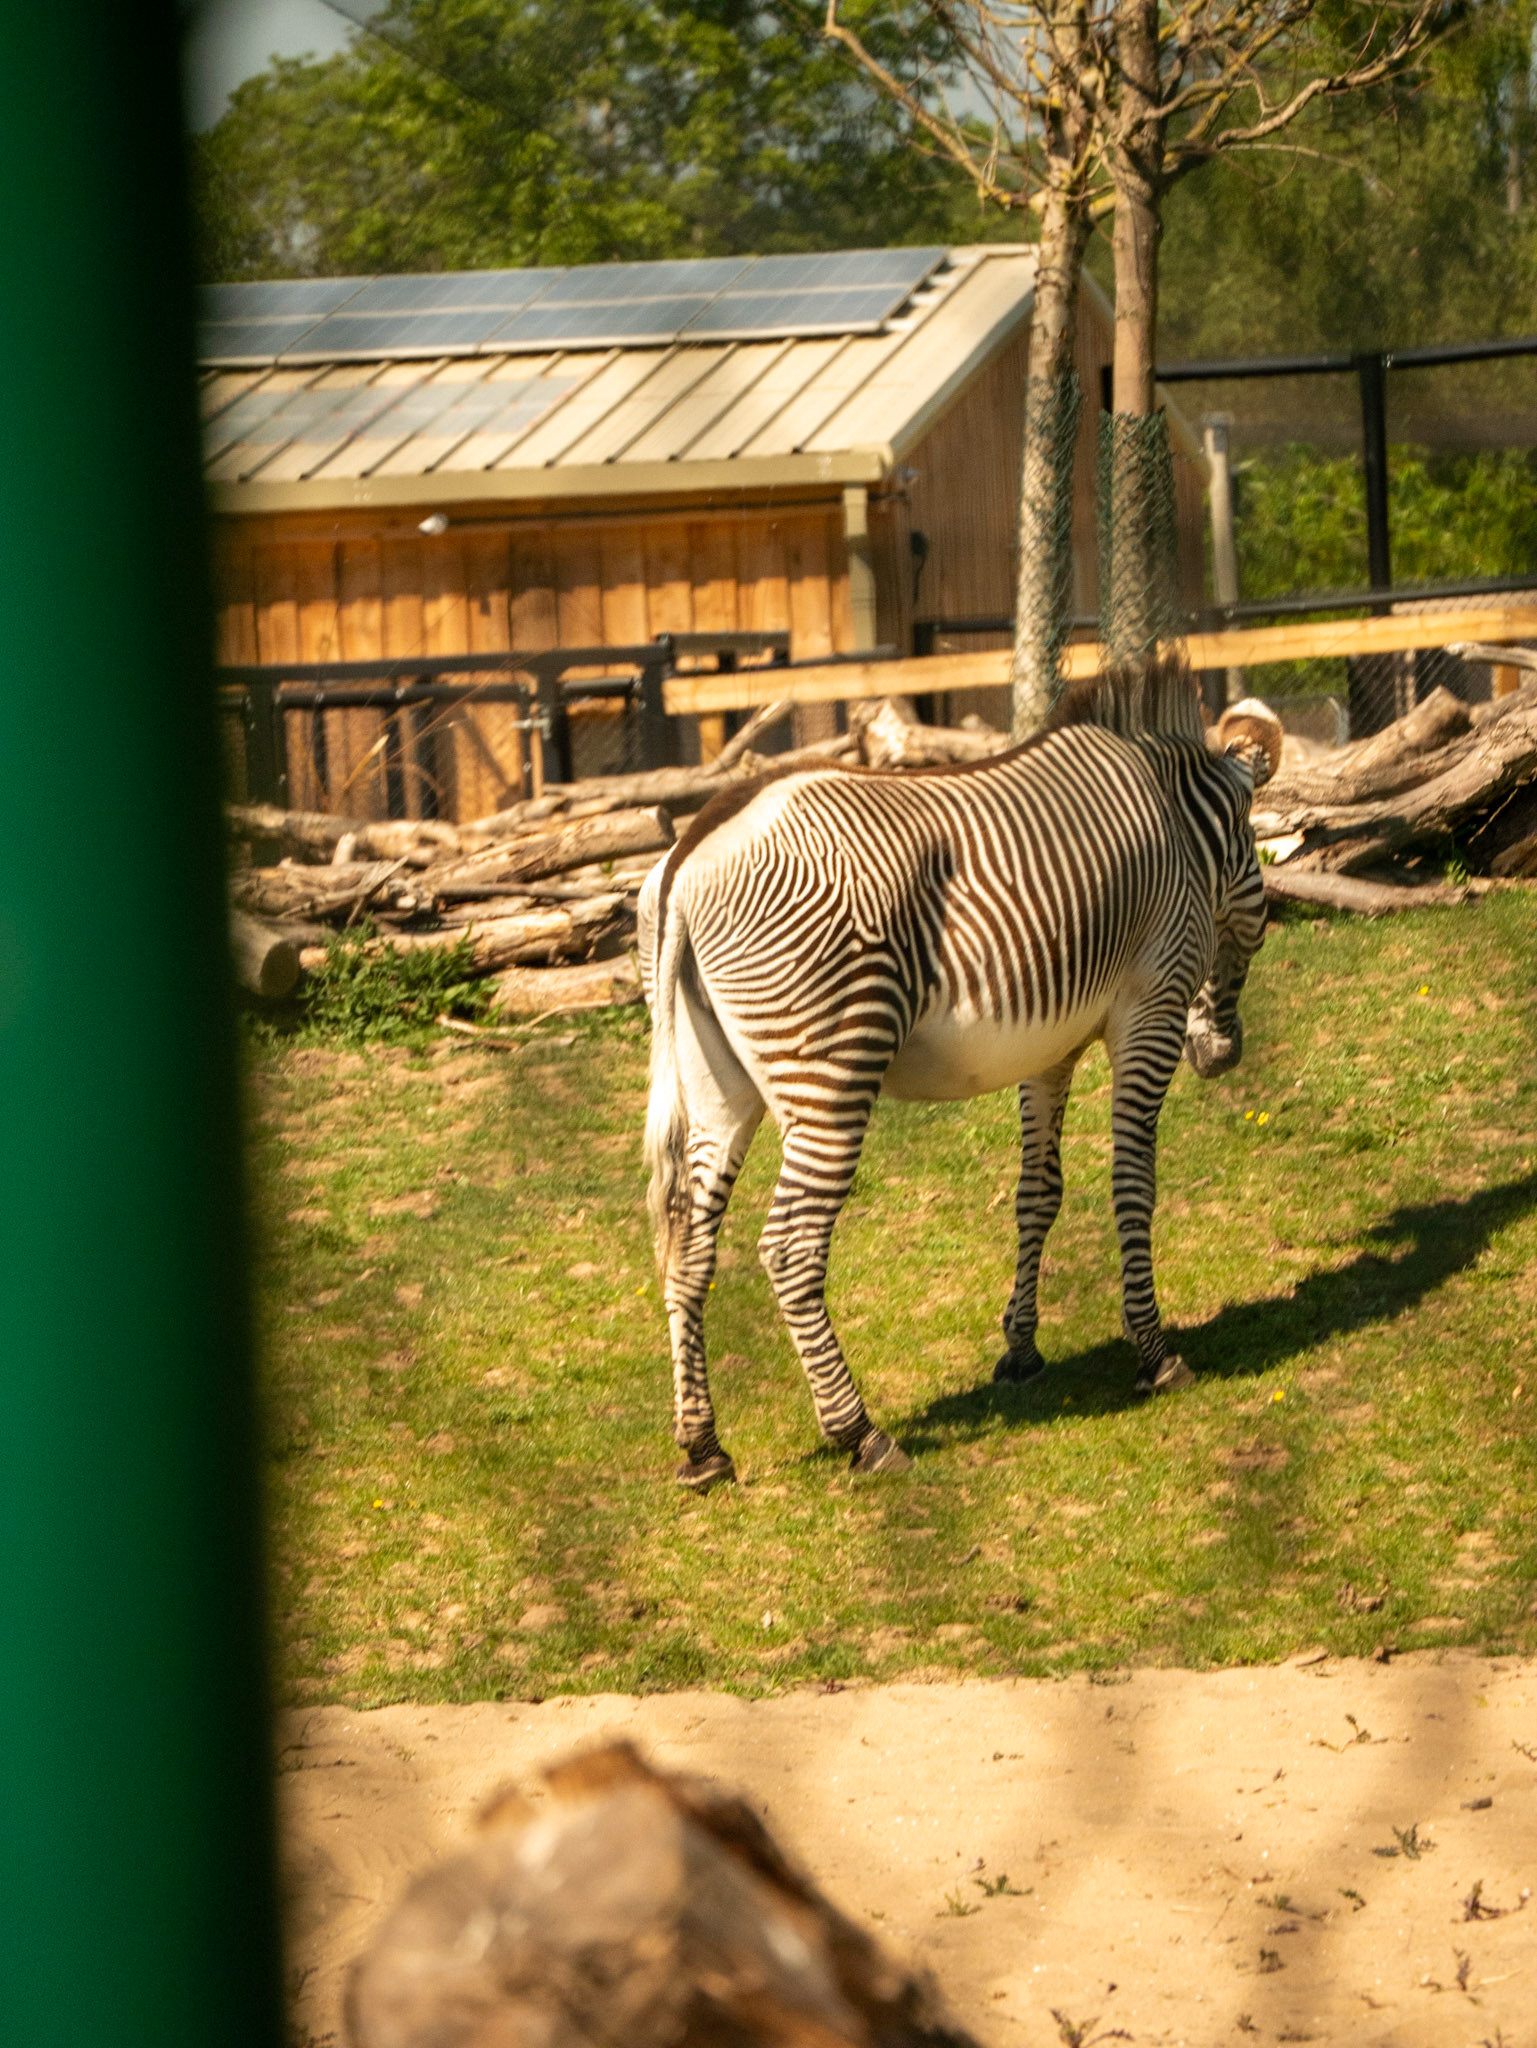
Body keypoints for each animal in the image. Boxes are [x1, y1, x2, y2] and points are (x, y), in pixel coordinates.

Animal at [638, 660, 1281, 1490]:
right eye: (1259, 870)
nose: (1221, 1056)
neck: (1183, 824)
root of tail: (689, 855)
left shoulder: (1050, 1047)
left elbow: (1038, 1192)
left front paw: (1021, 1349)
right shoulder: (1155, 1003)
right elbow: (1132, 1182)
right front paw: (1155, 1353)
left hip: (716, 1083)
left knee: (688, 1243)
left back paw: (703, 1447)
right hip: (828, 1074)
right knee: (789, 1246)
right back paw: (860, 1433)